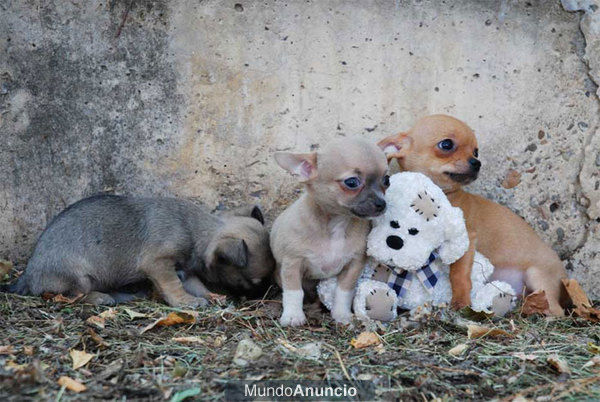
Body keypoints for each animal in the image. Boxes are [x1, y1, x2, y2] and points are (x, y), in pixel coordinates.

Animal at [1, 194, 274, 304]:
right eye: (252, 281)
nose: (262, 295)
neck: (195, 229)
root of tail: (27, 276)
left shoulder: (186, 270)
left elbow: (197, 285)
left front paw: (209, 296)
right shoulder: (159, 264)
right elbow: (173, 285)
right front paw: (185, 302)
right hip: (79, 277)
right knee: (71, 295)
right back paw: (100, 298)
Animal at [272, 138, 390, 326]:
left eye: (387, 180)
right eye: (352, 182)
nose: (382, 203)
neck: (337, 224)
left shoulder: (354, 265)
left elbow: (344, 291)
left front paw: (341, 314)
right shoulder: (292, 263)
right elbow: (294, 292)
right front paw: (292, 316)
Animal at [380, 114, 568, 316]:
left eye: (476, 152)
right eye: (446, 144)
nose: (477, 163)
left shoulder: (466, 240)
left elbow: (458, 275)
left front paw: (461, 303)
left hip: (538, 277)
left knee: (557, 310)